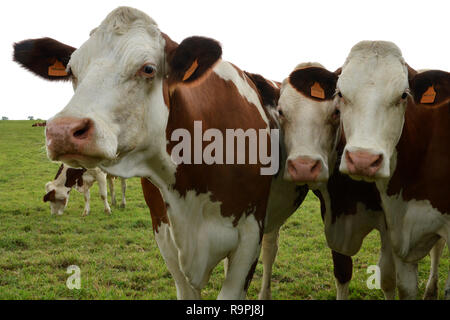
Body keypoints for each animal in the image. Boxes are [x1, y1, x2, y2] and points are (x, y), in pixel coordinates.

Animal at [14, 6, 310, 298]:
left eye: (148, 68)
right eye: (71, 71)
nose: (63, 130)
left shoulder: (249, 237)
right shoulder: (165, 236)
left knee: (271, 249)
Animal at [278, 60, 446, 300]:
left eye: (335, 113)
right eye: (281, 113)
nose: (304, 167)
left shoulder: (390, 220)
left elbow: (387, 277)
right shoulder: (333, 214)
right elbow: (342, 270)